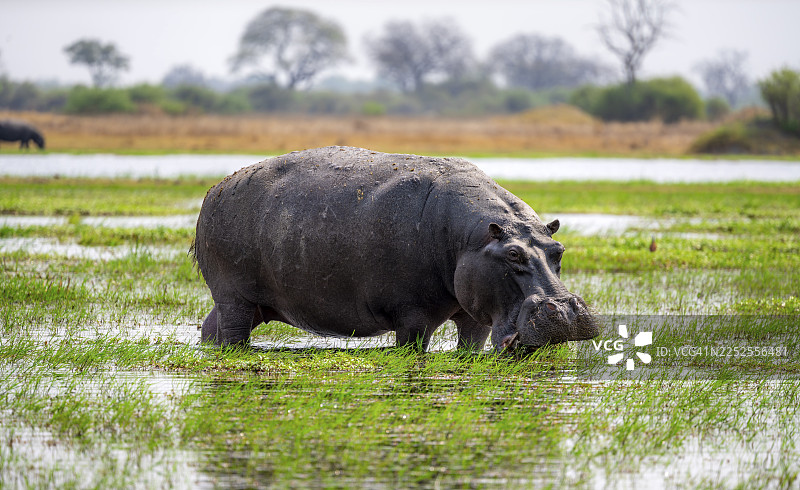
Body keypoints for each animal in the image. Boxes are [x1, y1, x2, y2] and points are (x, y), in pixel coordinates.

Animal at [192, 146, 598, 351]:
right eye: (513, 254)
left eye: (558, 249)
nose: (565, 311)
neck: (474, 239)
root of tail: (215, 189)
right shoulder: (413, 316)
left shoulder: (476, 317)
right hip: (235, 299)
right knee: (232, 335)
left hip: (251, 303)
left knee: (211, 329)